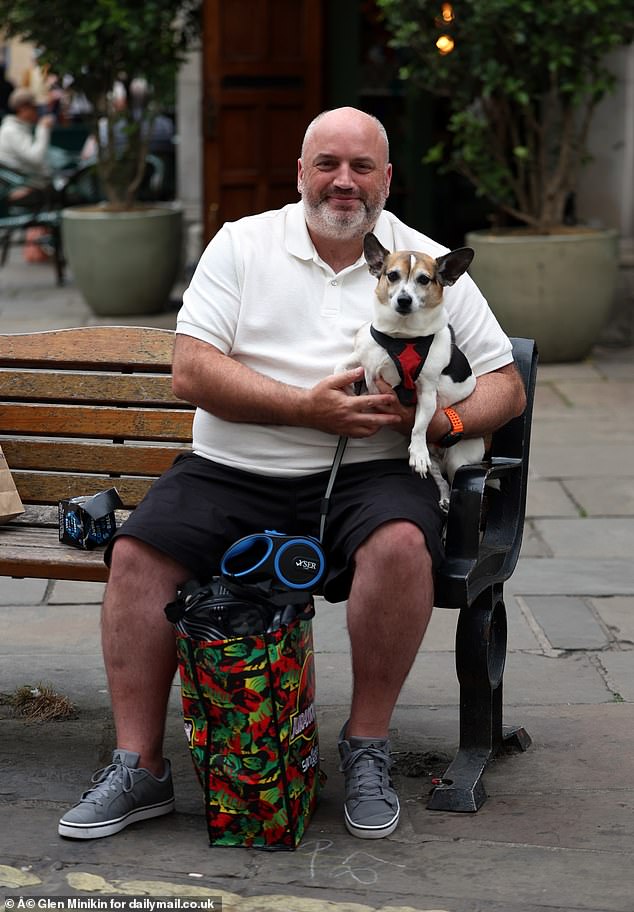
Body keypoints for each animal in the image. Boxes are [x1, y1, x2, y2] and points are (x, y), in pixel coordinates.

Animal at [338, 233, 482, 506]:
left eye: (424, 279)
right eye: (392, 275)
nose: (404, 299)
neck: (401, 336)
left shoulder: (426, 393)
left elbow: (419, 426)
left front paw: (417, 449)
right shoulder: (361, 359)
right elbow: (341, 367)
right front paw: (348, 391)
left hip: (458, 458)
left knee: (451, 475)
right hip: (437, 464)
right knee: (439, 478)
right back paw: (443, 497)